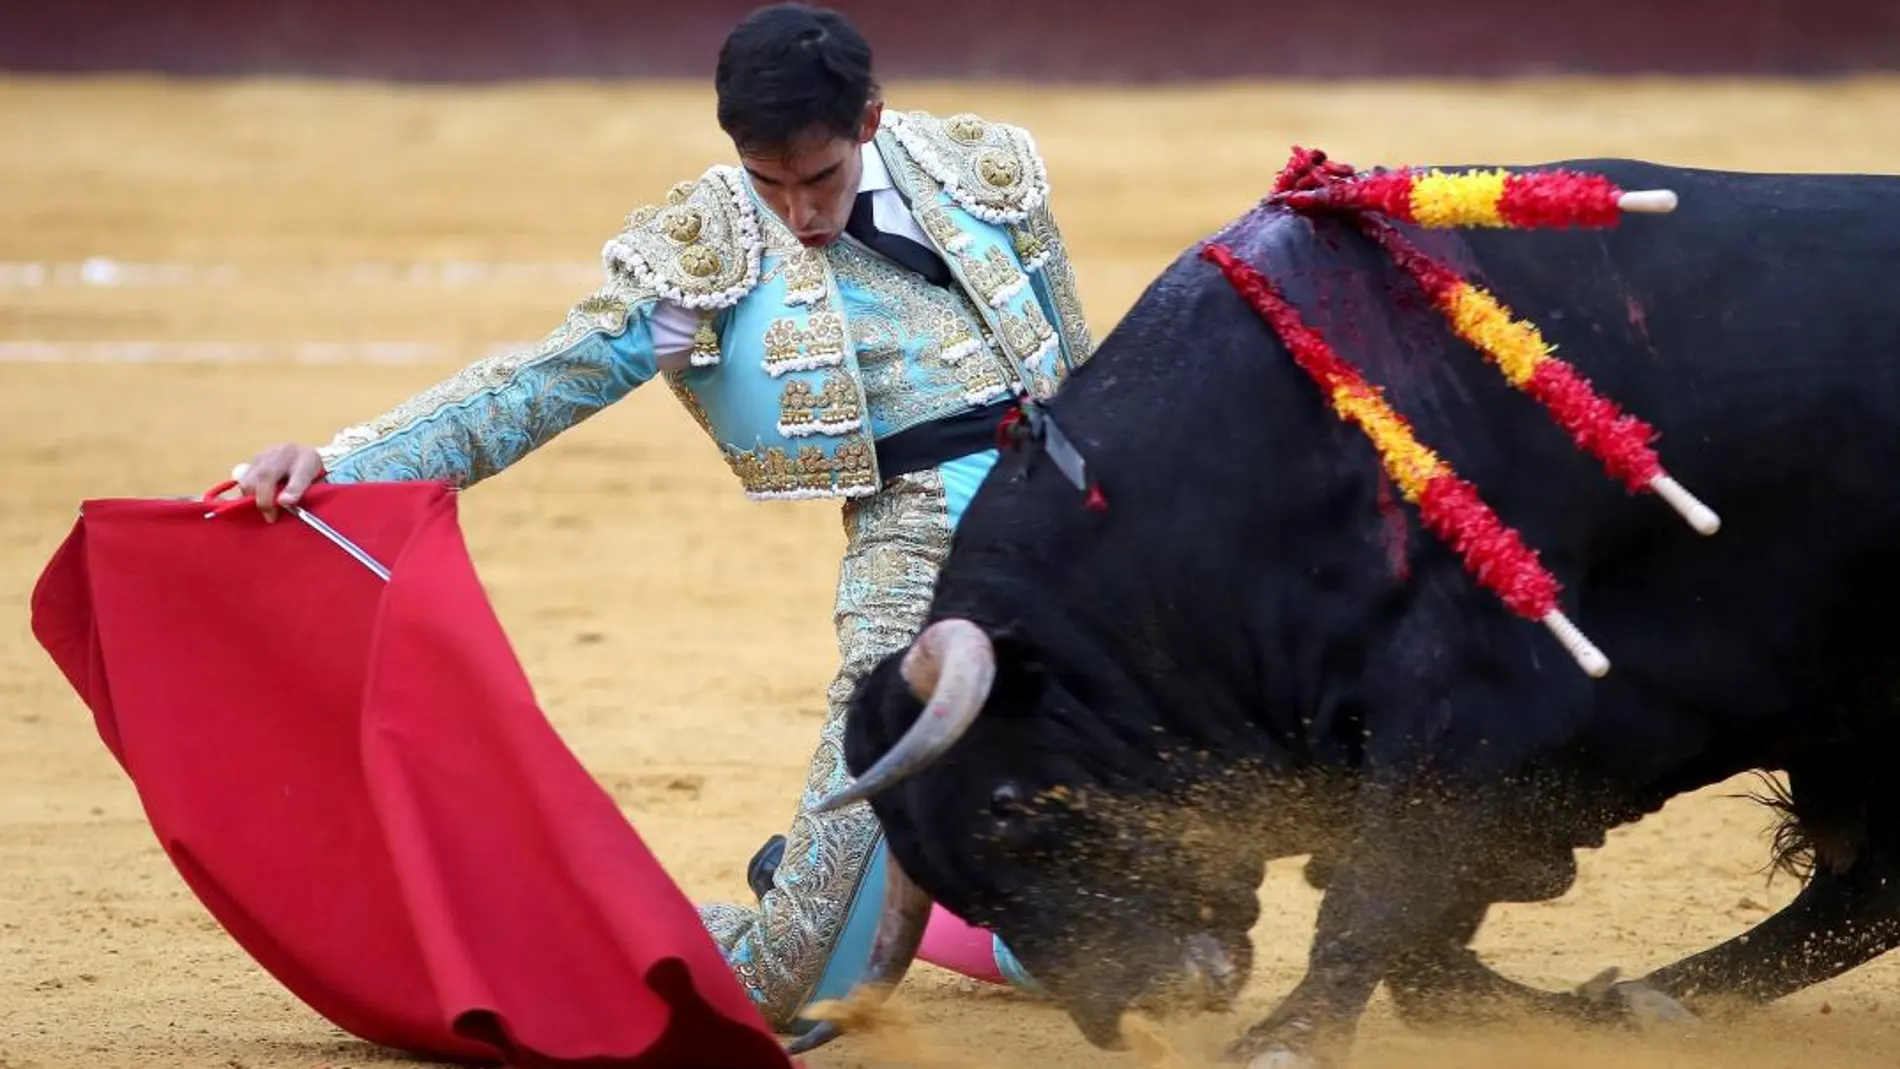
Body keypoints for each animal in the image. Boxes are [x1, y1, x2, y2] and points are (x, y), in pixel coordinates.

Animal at [809, 161, 1900, 1069]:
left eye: (1005, 805)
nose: (1131, 1009)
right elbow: (1415, 937)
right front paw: (1539, 1006)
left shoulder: (1476, 719)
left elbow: (1377, 894)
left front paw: (1288, 1039)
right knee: (1860, 889)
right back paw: (1652, 1000)